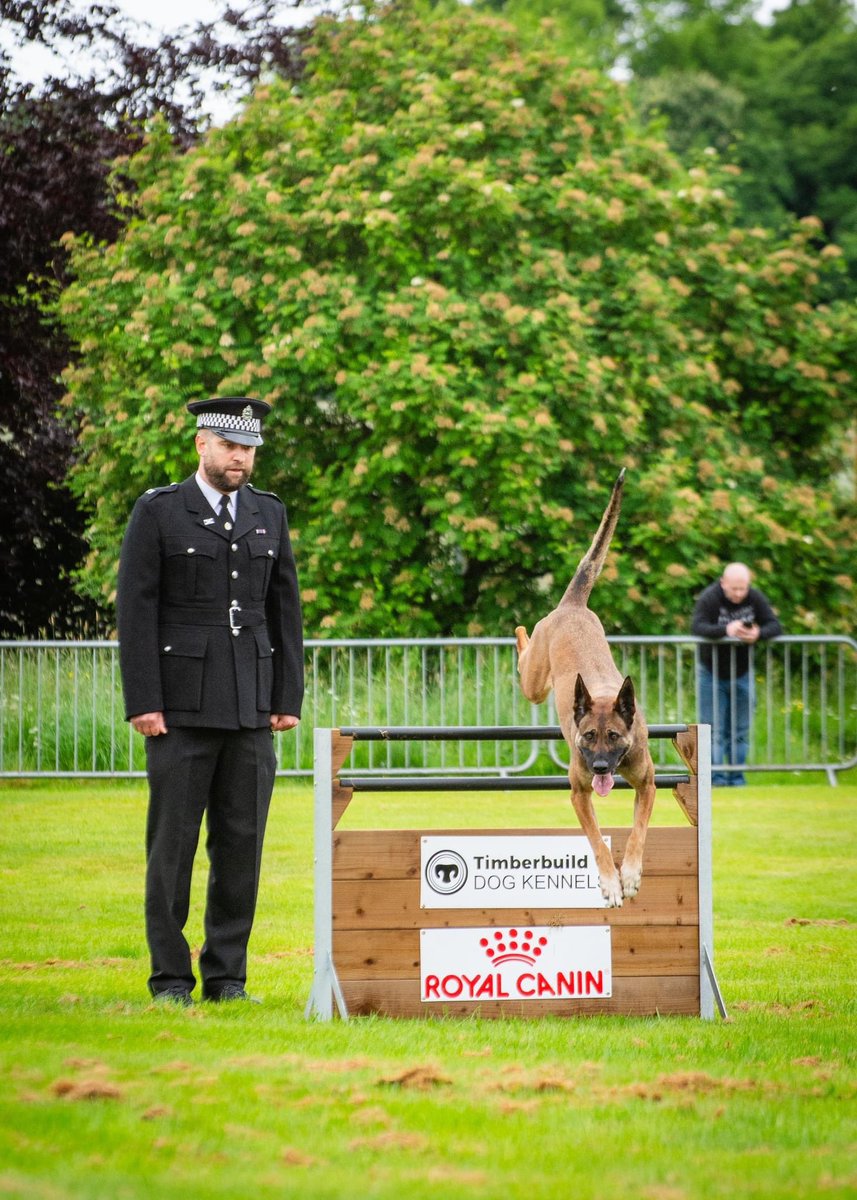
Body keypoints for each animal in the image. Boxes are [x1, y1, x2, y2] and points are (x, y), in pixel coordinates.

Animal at [513, 472, 652, 902]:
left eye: (614, 736)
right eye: (589, 735)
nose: (602, 768)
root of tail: (572, 607)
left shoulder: (647, 784)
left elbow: (639, 831)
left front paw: (631, 875)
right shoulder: (579, 793)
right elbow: (595, 841)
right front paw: (610, 881)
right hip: (534, 681)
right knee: (523, 644)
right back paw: (519, 634)